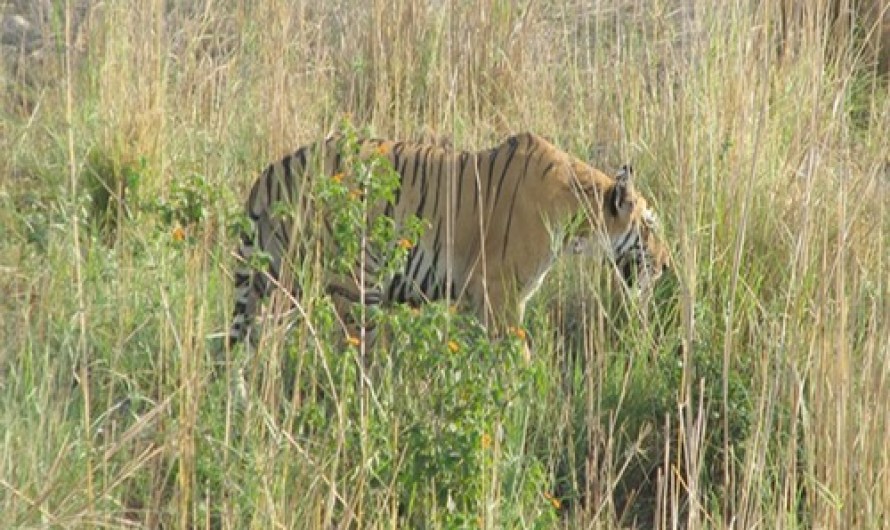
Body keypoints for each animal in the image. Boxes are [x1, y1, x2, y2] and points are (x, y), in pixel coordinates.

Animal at [227, 131, 664, 346]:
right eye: (650, 226)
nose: (666, 265)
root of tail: (270, 175)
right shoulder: (499, 292)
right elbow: (516, 354)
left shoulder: (480, 299)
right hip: (355, 282)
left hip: (274, 278)